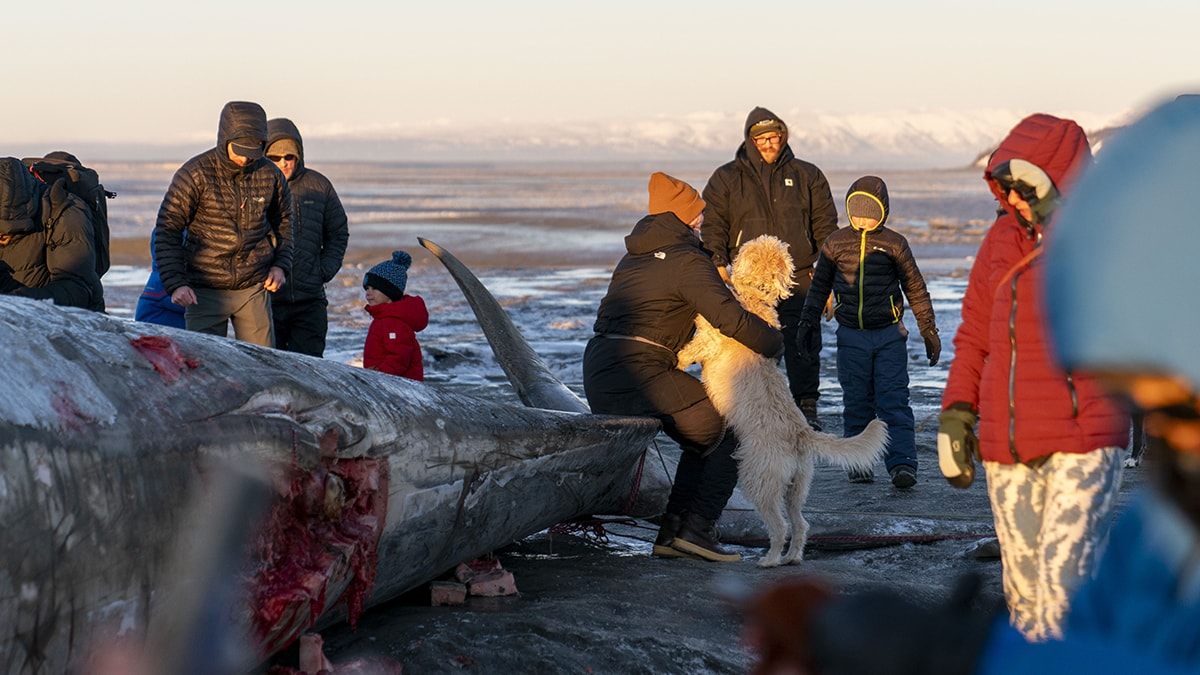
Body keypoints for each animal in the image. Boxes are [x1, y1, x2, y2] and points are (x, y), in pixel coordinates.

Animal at [681, 234, 888, 564]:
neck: (756, 297)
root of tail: (801, 434)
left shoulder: (710, 340)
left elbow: (691, 349)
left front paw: (676, 361)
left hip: (759, 480)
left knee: (778, 525)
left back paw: (769, 560)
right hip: (796, 487)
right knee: (800, 523)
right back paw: (792, 557)